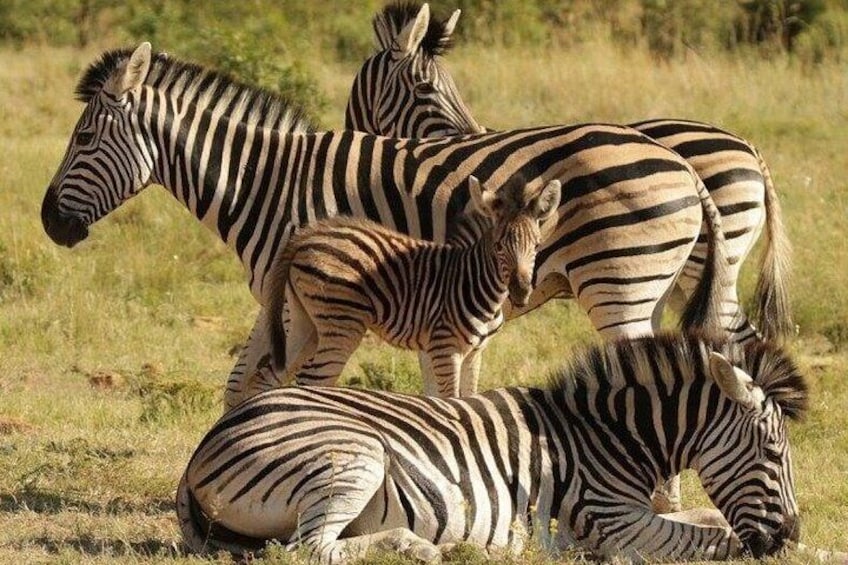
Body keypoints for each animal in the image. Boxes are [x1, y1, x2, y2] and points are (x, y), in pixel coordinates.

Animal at [174, 330, 808, 560]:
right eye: (774, 454)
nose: (790, 536)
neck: (610, 438)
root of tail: (207, 442)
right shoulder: (612, 521)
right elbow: (715, 540)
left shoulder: (636, 512)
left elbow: (710, 519)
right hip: (354, 454)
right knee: (305, 549)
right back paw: (423, 548)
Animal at [248, 174, 560, 398]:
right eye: (498, 247)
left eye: (537, 246)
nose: (521, 292)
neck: (476, 280)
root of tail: (307, 235)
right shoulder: (445, 348)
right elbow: (451, 400)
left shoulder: (475, 353)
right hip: (342, 324)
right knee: (310, 381)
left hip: (305, 322)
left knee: (266, 375)